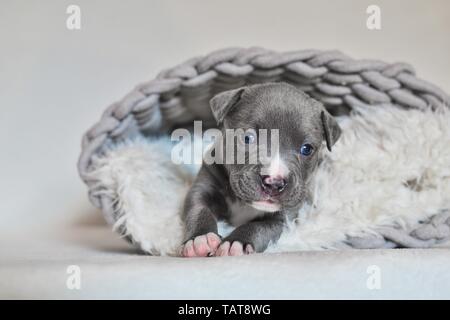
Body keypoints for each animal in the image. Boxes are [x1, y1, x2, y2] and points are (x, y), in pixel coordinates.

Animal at [179, 82, 342, 258]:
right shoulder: (203, 186)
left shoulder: (284, 219)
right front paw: (199, 239)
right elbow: (199, 209)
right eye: (247, 138)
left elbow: (259, 227)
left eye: (307, 149)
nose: (274, 182)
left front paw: (236, 242)